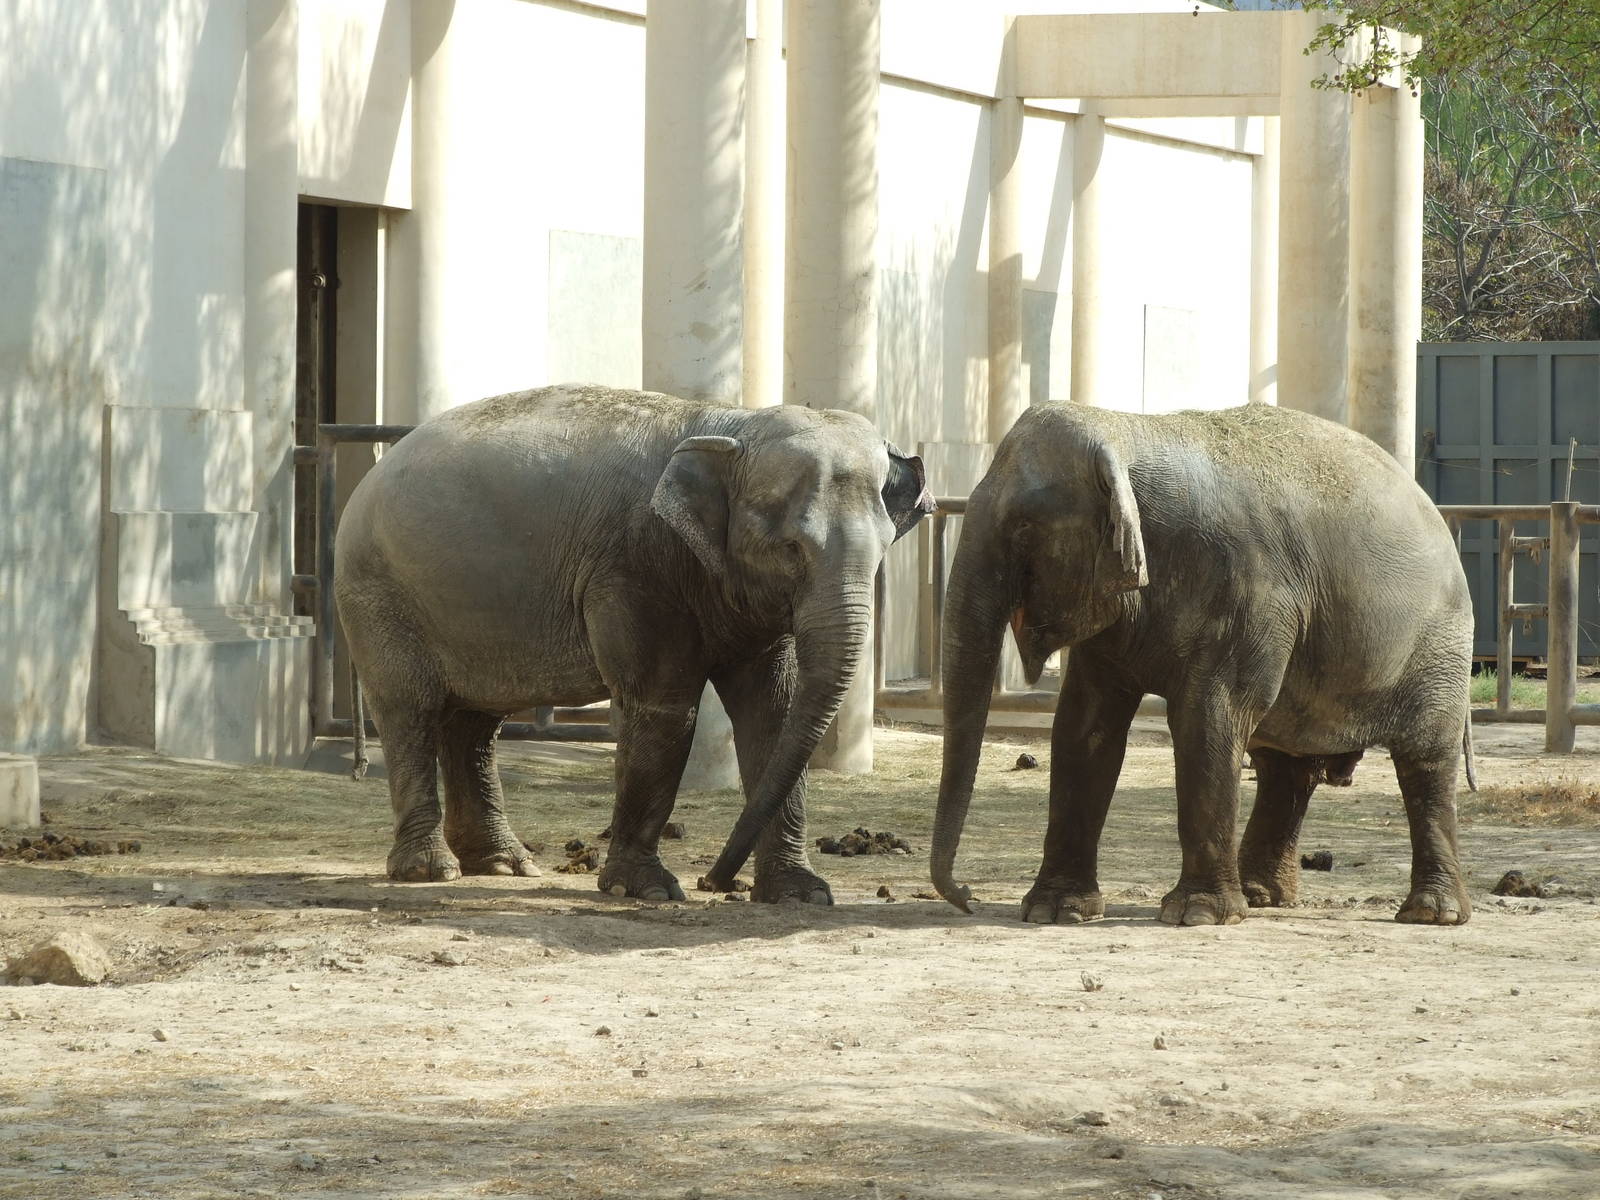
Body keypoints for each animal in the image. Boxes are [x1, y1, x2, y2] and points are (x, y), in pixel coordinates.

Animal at [335, 384, 934, 903]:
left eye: (885, 548)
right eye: (790, 548)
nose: (714, 882)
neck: (731, 424)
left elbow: (772, 713)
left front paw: (801, 894)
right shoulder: (633, 567)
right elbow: (664, 708)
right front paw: (645, 891)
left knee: (475, 724)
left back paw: (503, 865)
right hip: (378, 595)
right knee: (409, 711)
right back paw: (430, 871)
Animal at [929, 402, 1476, 927]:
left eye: (1022, 529)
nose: (968, 896)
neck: (1126, 429)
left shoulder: (1249, 592)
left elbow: (1208, 718)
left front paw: (1196, 914)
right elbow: (1083, 728)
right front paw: (1054, 911)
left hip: (1440, 645)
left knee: (1426, 761)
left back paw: (1432, 913)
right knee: (1285, 769)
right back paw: (1260, 897)